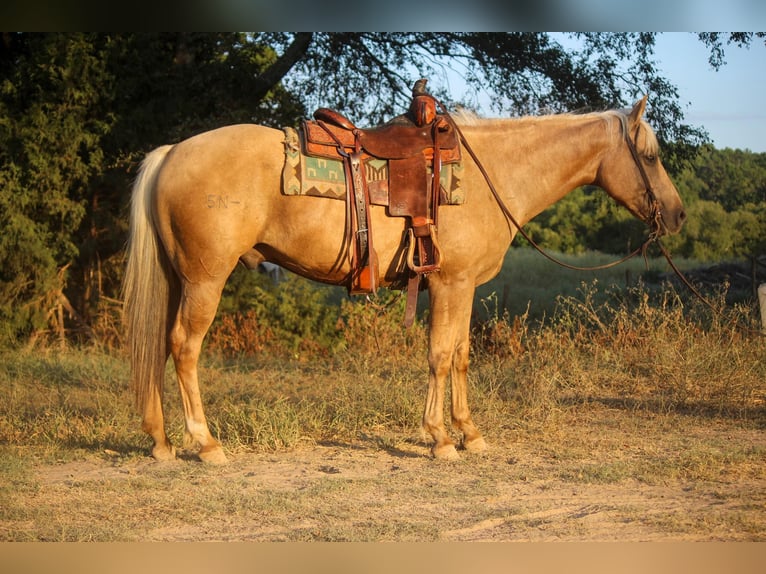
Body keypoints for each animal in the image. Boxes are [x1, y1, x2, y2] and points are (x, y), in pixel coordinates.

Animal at [123, 94, 688, 464]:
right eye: (652, 155)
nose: (678, 216)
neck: (492, 174)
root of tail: (172, 153)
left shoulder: (464, 287)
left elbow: (460, 355)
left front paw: (470, 433)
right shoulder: (450, 284)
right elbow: (439, 355)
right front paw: (439, 439)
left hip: (177, 279)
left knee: (159, 345)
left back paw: (161, 442)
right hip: (205, 280)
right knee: (184, 347)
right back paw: (205, 444)